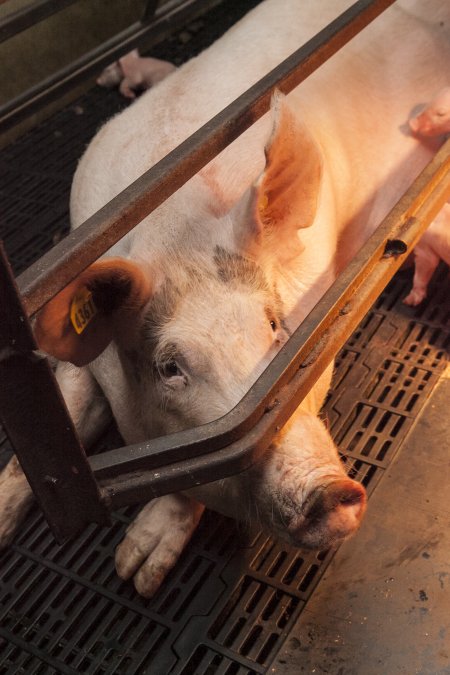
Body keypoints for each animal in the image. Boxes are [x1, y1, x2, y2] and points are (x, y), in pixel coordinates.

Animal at [0, 1, 450, 604]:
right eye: (170, 368)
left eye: (277, 326)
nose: (329, 492)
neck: (173, 229)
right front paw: (128, 570)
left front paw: (137, 569)